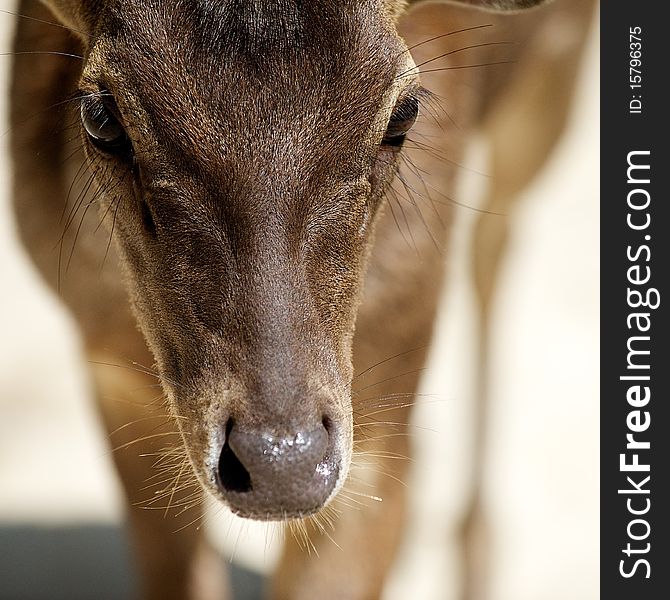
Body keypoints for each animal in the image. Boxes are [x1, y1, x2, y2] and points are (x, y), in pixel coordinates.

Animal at [9, 0, 600, 596]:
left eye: (404, 113)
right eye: (101, 118)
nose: (282, 468)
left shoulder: (384, 399)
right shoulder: (114, 380)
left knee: (495, 240)